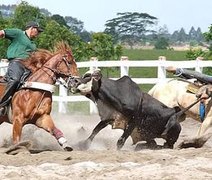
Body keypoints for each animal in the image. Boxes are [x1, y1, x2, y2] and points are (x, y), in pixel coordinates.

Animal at [68, 70, 205, 150]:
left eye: (88, 77)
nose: (71, 80)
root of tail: (176, 114)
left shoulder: (133, 121)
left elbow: (120, 141)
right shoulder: (109, 118)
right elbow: (94, 131)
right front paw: (82, 145)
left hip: (170, 136)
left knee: (166, 146)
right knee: (153, 143)